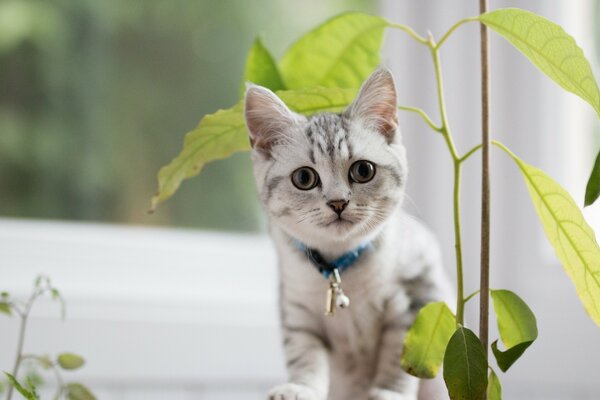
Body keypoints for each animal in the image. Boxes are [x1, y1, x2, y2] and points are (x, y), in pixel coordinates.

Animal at [244, 69, 450, 400]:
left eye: (363, 170)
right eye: (304, 177)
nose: (338, 202)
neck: (340, 265)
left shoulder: (416, 294)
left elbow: (401, 358)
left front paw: (389, 393)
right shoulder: (298, 311)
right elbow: (304, 355)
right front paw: (300, 388)